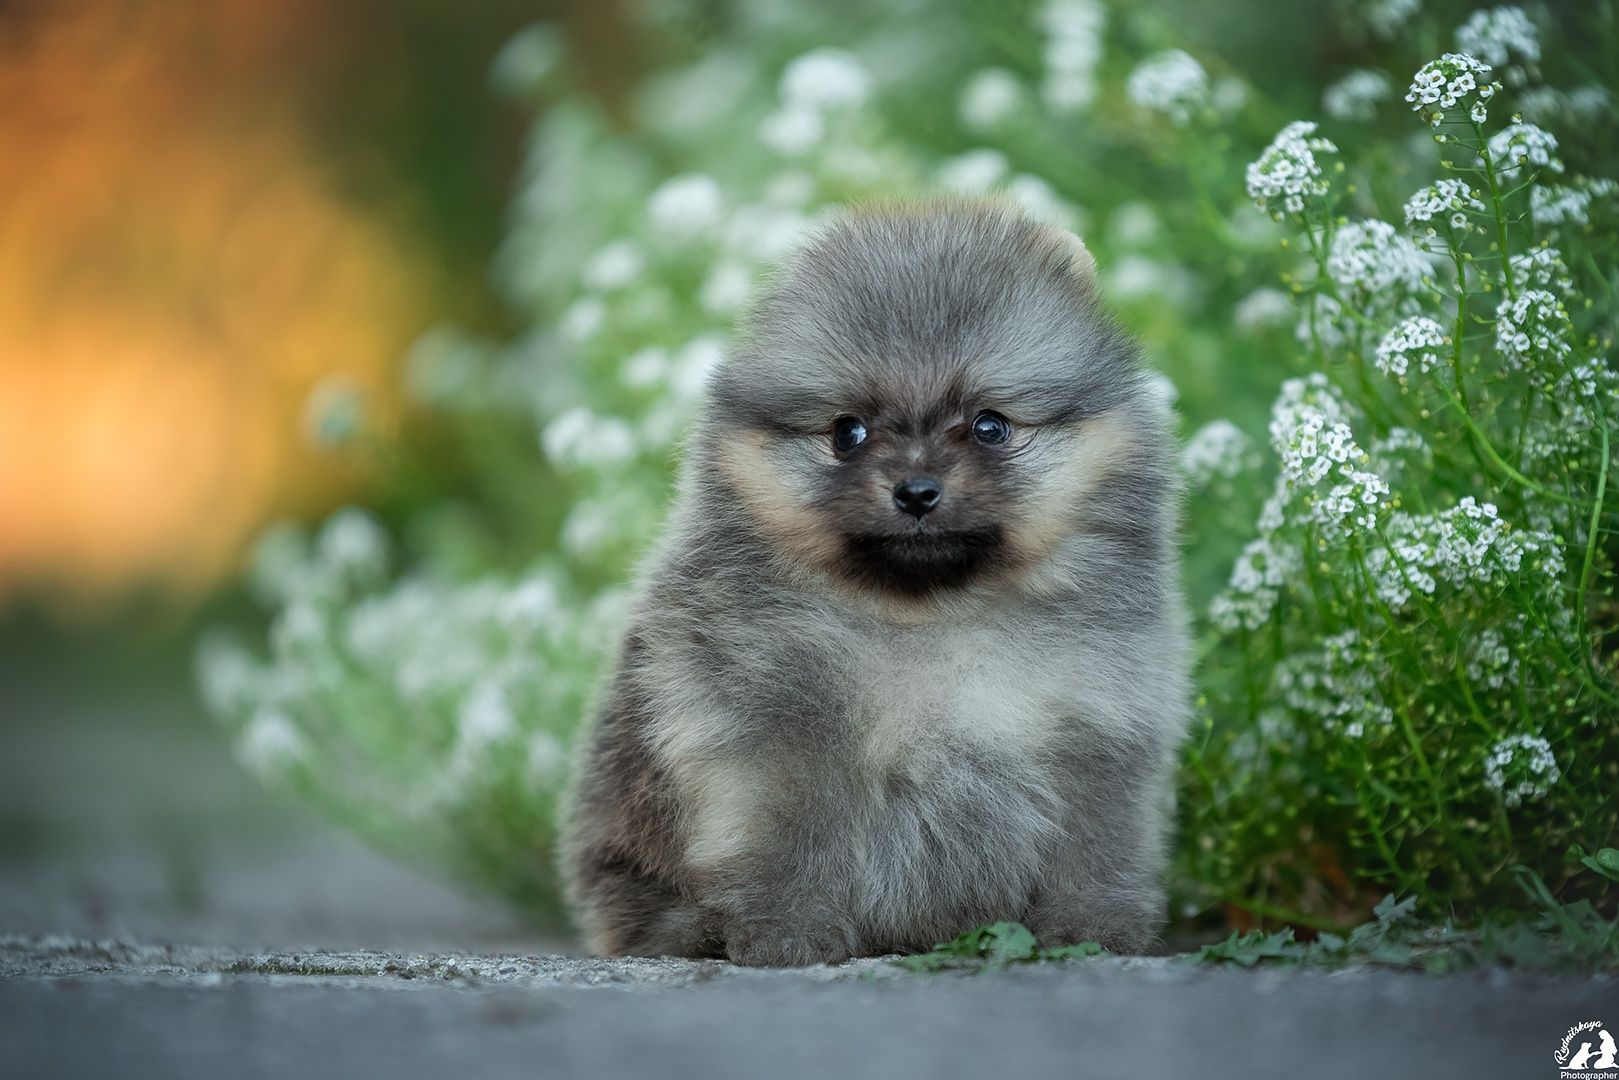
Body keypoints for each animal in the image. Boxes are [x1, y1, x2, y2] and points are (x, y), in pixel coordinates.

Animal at [560, 198, 1191, 965]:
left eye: (989, 426)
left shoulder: (1096, 722)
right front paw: (789, 934)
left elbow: (1094, 845)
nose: (916, 490)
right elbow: (791, 843)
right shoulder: (781, 729)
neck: (933, 615)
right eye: (847, 433)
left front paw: (1091, 929)